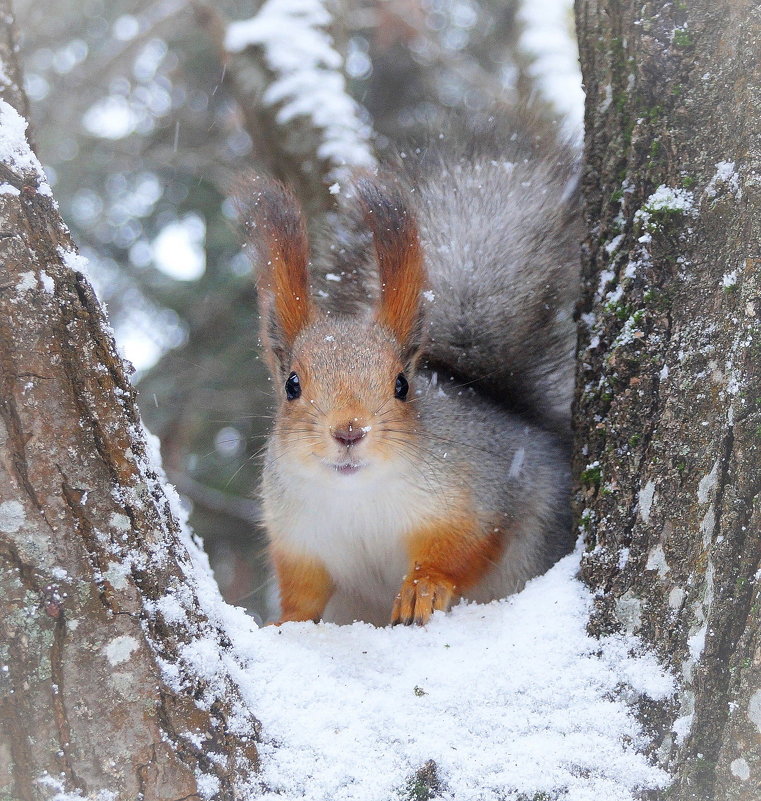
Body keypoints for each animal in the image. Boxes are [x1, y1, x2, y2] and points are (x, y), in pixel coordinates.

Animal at [238, 123, 580, 624]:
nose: (349, 431)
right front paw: (286, 623)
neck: (355, 495)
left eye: (401, 384)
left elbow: (460, 551)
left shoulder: (480, 495)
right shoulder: (297, 540)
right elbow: (303, 591)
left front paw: (424, 586)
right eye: (291, 385)